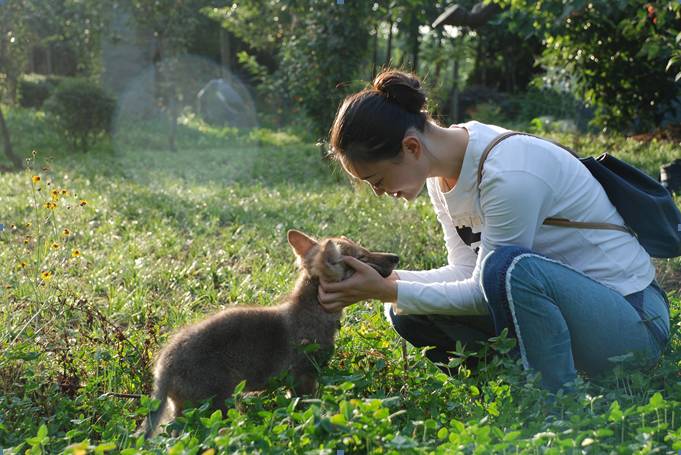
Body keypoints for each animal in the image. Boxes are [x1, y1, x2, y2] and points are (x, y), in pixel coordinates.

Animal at [139, 229, 399, 437]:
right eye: (362, 257)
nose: (395, 257)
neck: (312, 310)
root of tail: (164, 367)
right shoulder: (304, 378)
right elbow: (307, 410)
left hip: (188, 408)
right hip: (218, 406)